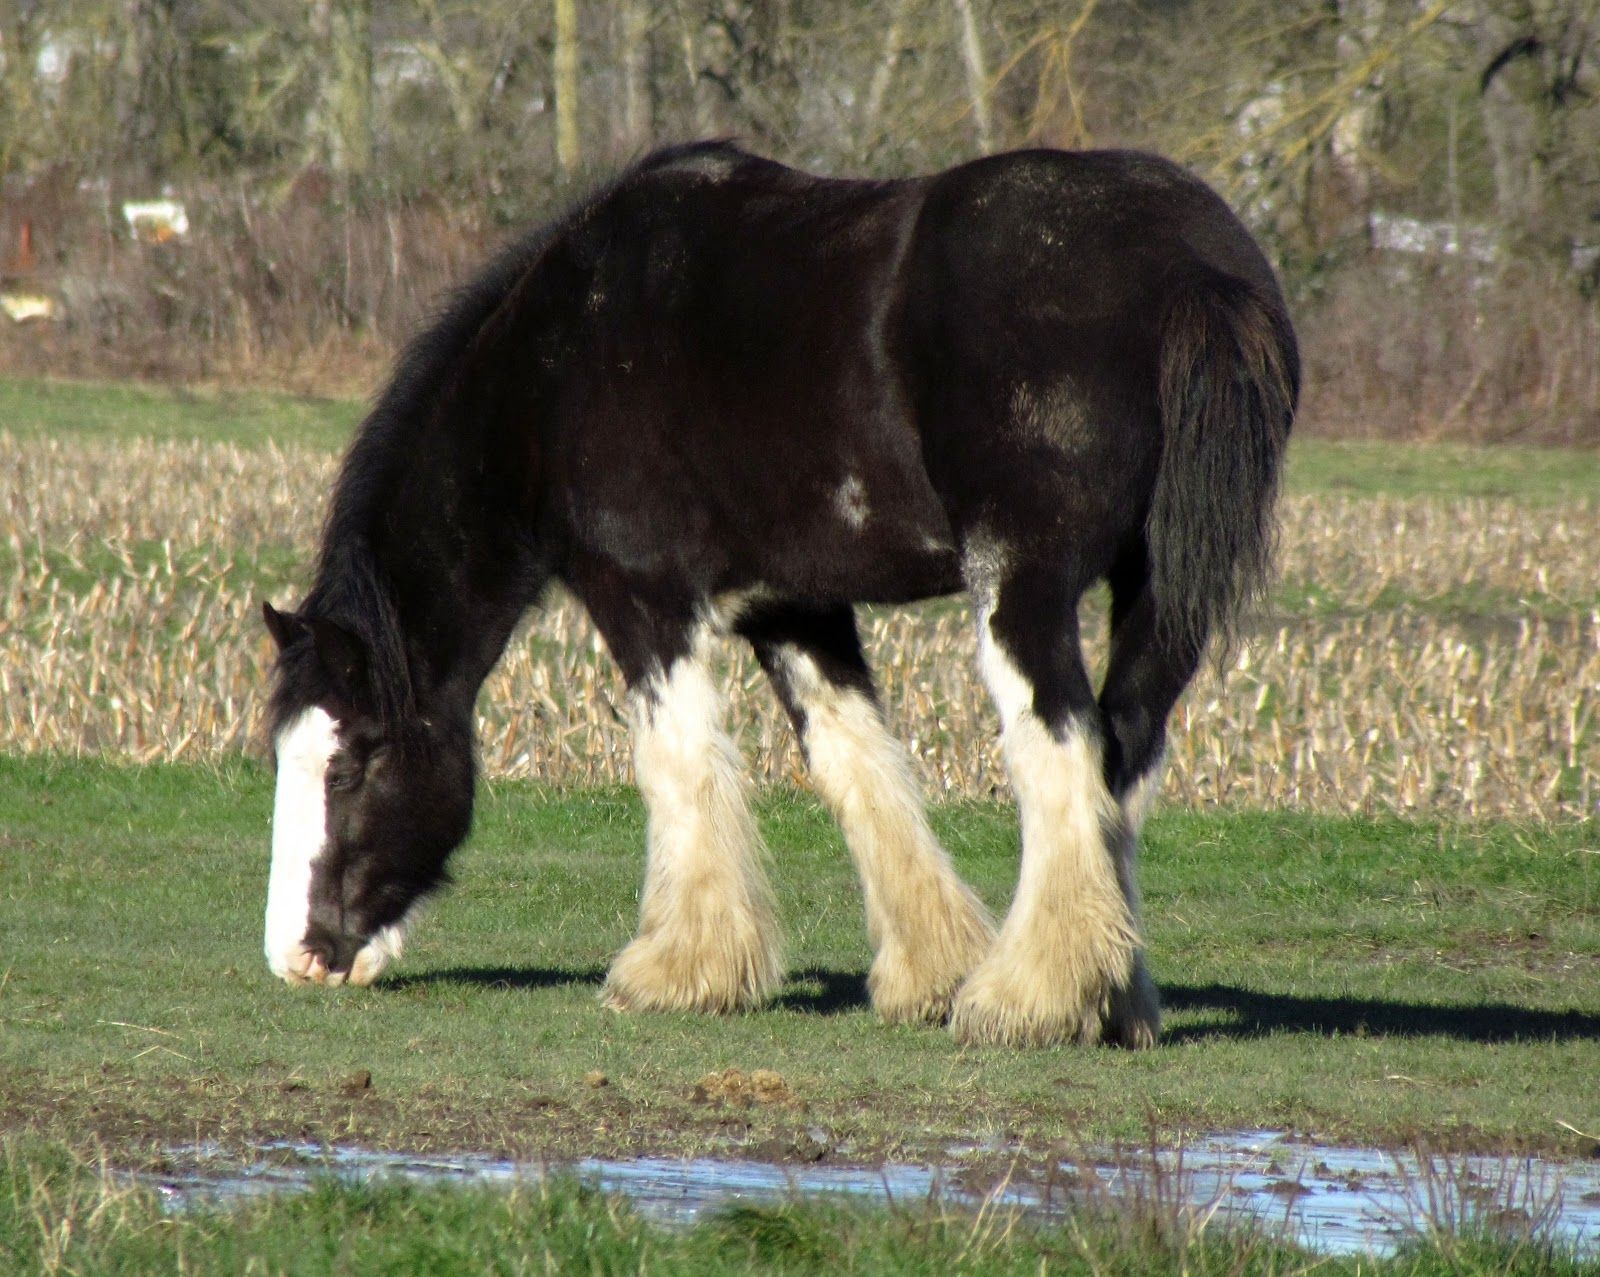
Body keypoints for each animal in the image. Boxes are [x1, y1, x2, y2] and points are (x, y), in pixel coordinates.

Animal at [261, 141, 1297, 1048]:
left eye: (347, 764)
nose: (296, 957)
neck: (561, 364)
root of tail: (1189, 266)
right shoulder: (794, 607)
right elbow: (853, 763)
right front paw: (925, 971)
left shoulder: (646, 599)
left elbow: (676, 759)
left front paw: (682, 969)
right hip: (1159, 596)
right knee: (1124, 753)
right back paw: (1113, 999)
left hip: (1022, 587)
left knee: (1060, 742)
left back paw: (1027, 998)